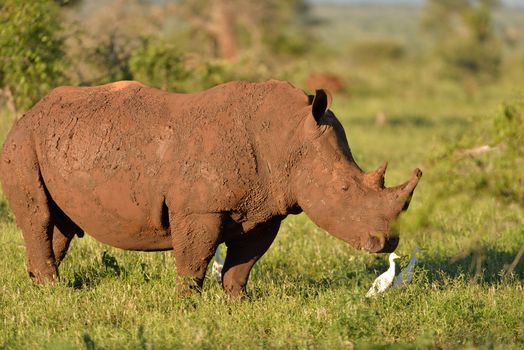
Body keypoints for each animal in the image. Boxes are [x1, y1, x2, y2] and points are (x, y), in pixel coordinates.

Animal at [0, 80, 420, 296]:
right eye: (344, 189)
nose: (387, 242)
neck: (288, 136)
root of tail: (31, 111)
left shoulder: (266, 209)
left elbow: (244, 262)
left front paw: (238, 302)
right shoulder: (199, 210)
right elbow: (195, 260)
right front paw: (186, 304)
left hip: (54, 142)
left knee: (60, 226)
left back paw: (43, 287)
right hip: (22, 143)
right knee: (38, 217)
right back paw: (55, 292)